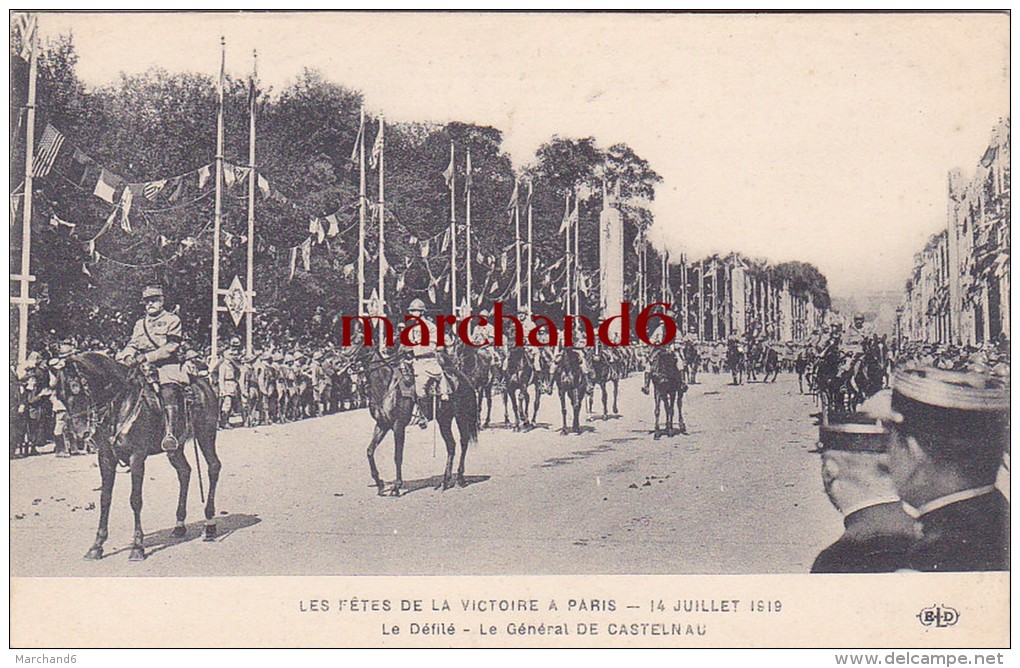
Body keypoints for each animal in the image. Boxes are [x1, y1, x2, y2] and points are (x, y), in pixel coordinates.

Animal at [52, 352, 220, 562]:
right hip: (175, 448)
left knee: (213, 467)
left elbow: (135, 499)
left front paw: (137, 546)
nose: (81, 433)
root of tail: (203, 383)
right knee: (185, 472)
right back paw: (179, 525)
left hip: (206, 433)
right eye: (59, 395)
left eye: (77, 388)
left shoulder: (136, 457)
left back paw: (210, 524)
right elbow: (105, 498)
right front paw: (97, 546)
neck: (119, 404)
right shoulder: (105, 457)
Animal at [363, 350, 477, 495]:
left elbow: (397, 456)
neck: (386, 386)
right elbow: (370, 451)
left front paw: (396, 487)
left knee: (464, 441)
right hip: (444, 419)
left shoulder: (398, 426)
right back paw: (445, 482)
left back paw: (460, 479)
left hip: (461, 416)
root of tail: (463, 377)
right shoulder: (382, 425)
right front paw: (380, 484)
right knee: (451, 445)